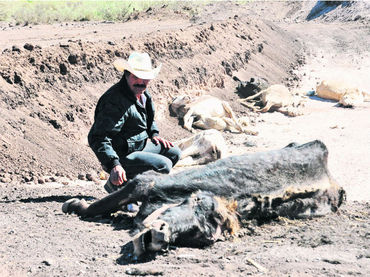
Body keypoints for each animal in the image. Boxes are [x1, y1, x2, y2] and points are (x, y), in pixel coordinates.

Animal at [62, 140, 344, 256]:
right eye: (192, 204)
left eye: (197, 234)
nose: (161, 235)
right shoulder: (148, 181)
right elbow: (102, 204)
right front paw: (75, 205)